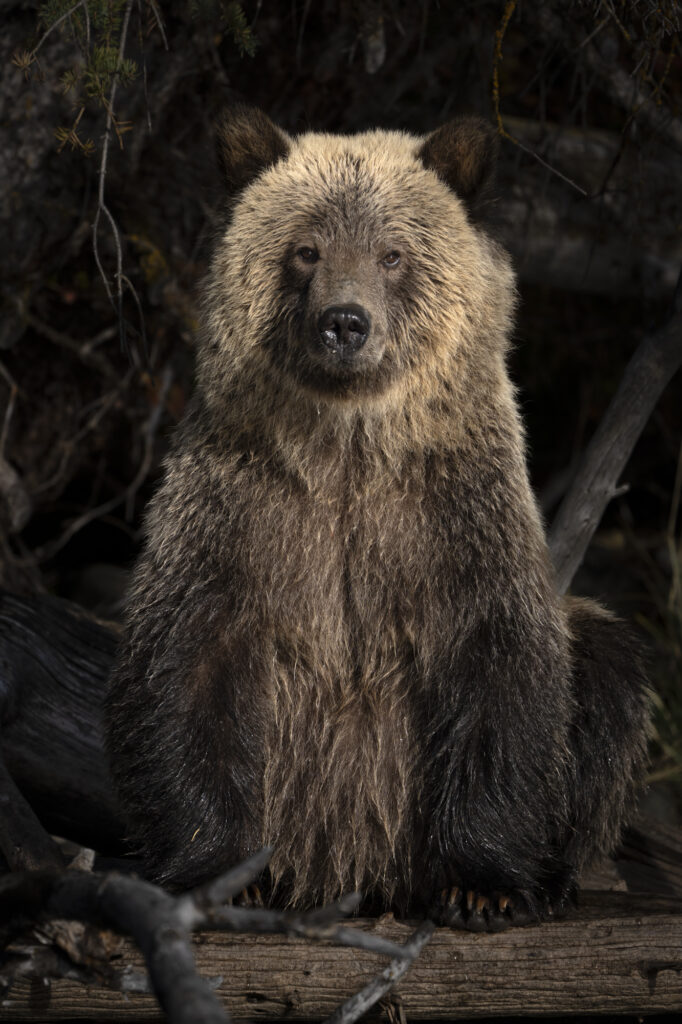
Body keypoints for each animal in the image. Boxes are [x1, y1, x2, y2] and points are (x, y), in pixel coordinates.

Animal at [105, 107, 650, 931]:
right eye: (306, 249)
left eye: (392, 252)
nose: (344, 322)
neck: (349, 447)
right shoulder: (241, 512)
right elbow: (187, 671)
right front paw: (221, 875)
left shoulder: (453, 521)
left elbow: (500, 672)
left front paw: (483, 886)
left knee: (609, 668)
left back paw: (554, 875)